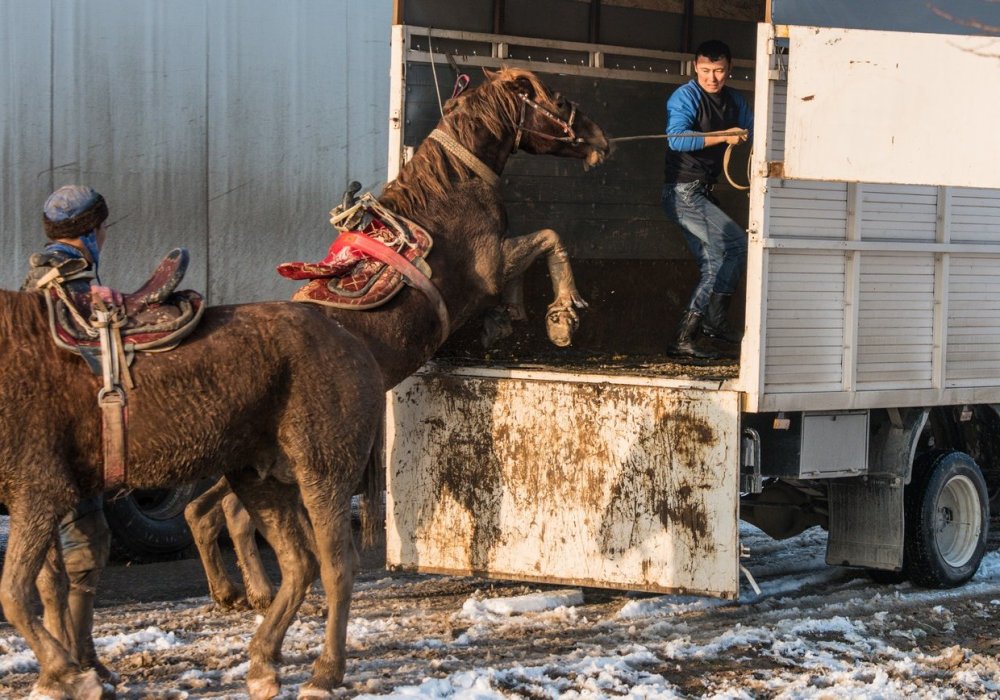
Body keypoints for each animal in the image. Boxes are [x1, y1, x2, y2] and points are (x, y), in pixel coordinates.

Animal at [3, 67, 608, 700]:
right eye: (558, 98)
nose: (602, 142)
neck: (451, 191)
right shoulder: (491, 265)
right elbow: (549, 239)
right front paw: (561, 317)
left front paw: (516, 319)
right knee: (234, 522)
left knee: (213, 514)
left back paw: (238, 602)